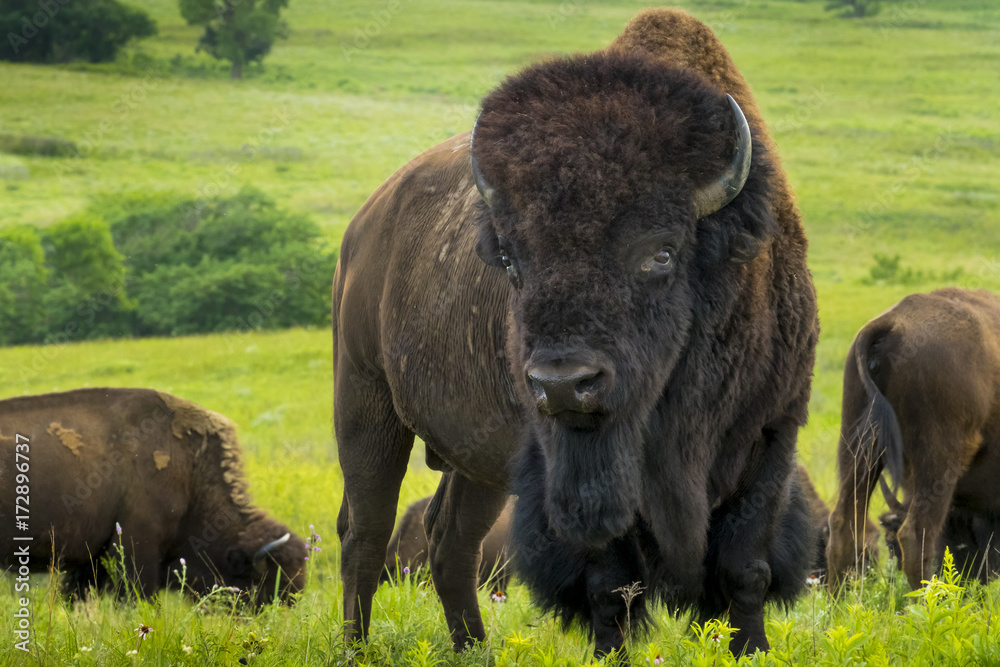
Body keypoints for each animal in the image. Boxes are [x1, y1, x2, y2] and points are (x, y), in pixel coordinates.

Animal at [336, 9, 820, 656]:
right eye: (511, 259)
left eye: (661, 252)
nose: (563, 384)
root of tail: (366, 222)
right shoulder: (575, 470)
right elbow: (608, 583)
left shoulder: (770, 434)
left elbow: (747, 569)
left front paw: (751, 649)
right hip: (367, 407)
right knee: (364, 535)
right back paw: (355, 648)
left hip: (477, 461)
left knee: (450, 541)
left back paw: (475, 650)